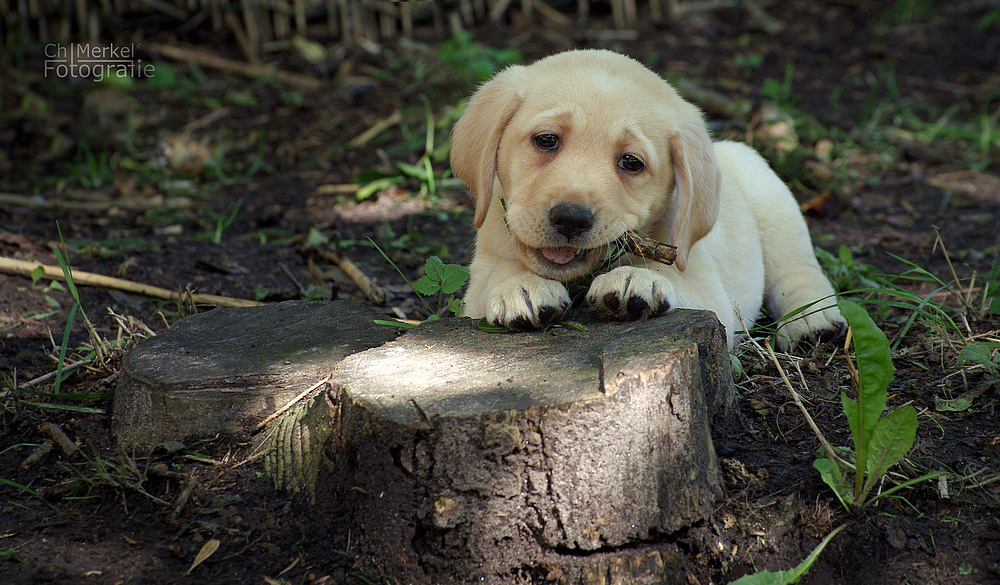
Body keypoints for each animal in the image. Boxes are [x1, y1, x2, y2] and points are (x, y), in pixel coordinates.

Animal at [452, 49, 844, 346]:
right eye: (546, 140)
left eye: (631, 162)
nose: (571, 219)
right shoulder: (479, 279)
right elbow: (497, 274)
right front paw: (521, 286)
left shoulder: (712, 295)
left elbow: (672, 278)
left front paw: (635, 280)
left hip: (768, 190)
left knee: (797, 268)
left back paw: (813, 320)